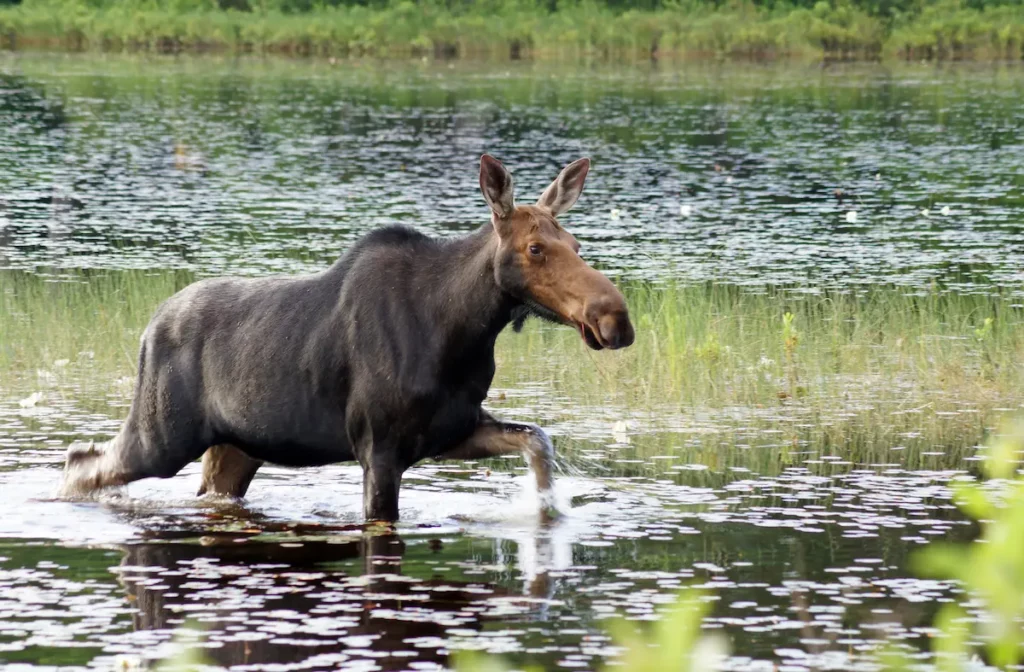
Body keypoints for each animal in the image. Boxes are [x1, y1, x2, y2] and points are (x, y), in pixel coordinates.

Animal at [59, 154, 634, 522]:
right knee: (79, 462)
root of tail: (148, 328)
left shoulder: (452, 430)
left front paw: (548, 512)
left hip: (236, 449)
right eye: (536, 248)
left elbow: (539, 441)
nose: (616, 319)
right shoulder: (378, 450)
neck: (463, 331)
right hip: (161, 437)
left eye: (575, 244)